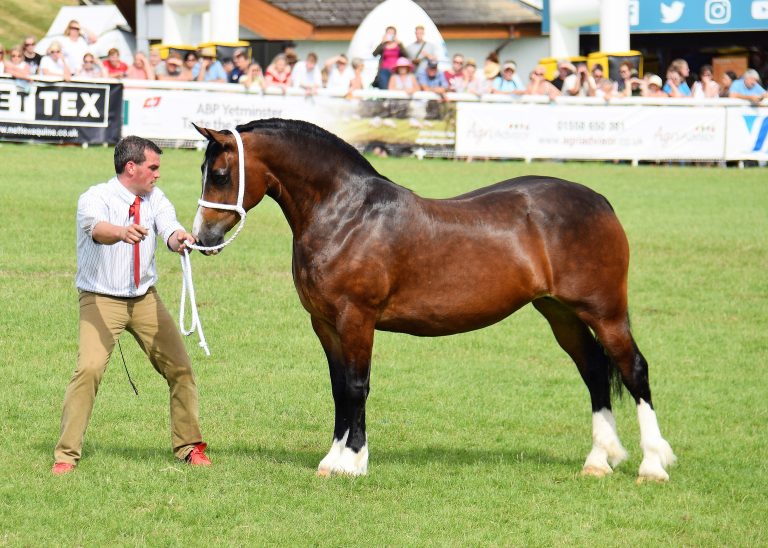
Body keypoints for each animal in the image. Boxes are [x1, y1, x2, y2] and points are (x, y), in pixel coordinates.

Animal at [194, 119, 680, 480]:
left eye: (220, 175)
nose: (202, 237)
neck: (347, 214)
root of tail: (599, 201)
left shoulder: (356, 320)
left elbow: (356, 386)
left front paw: (353, 462)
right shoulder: (325, 324)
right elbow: (337, 388)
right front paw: (332, 459)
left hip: (606, 312)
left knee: (634, 371)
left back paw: (653, 465)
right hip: (561, 314)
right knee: (595, 372)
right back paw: (598, 461)